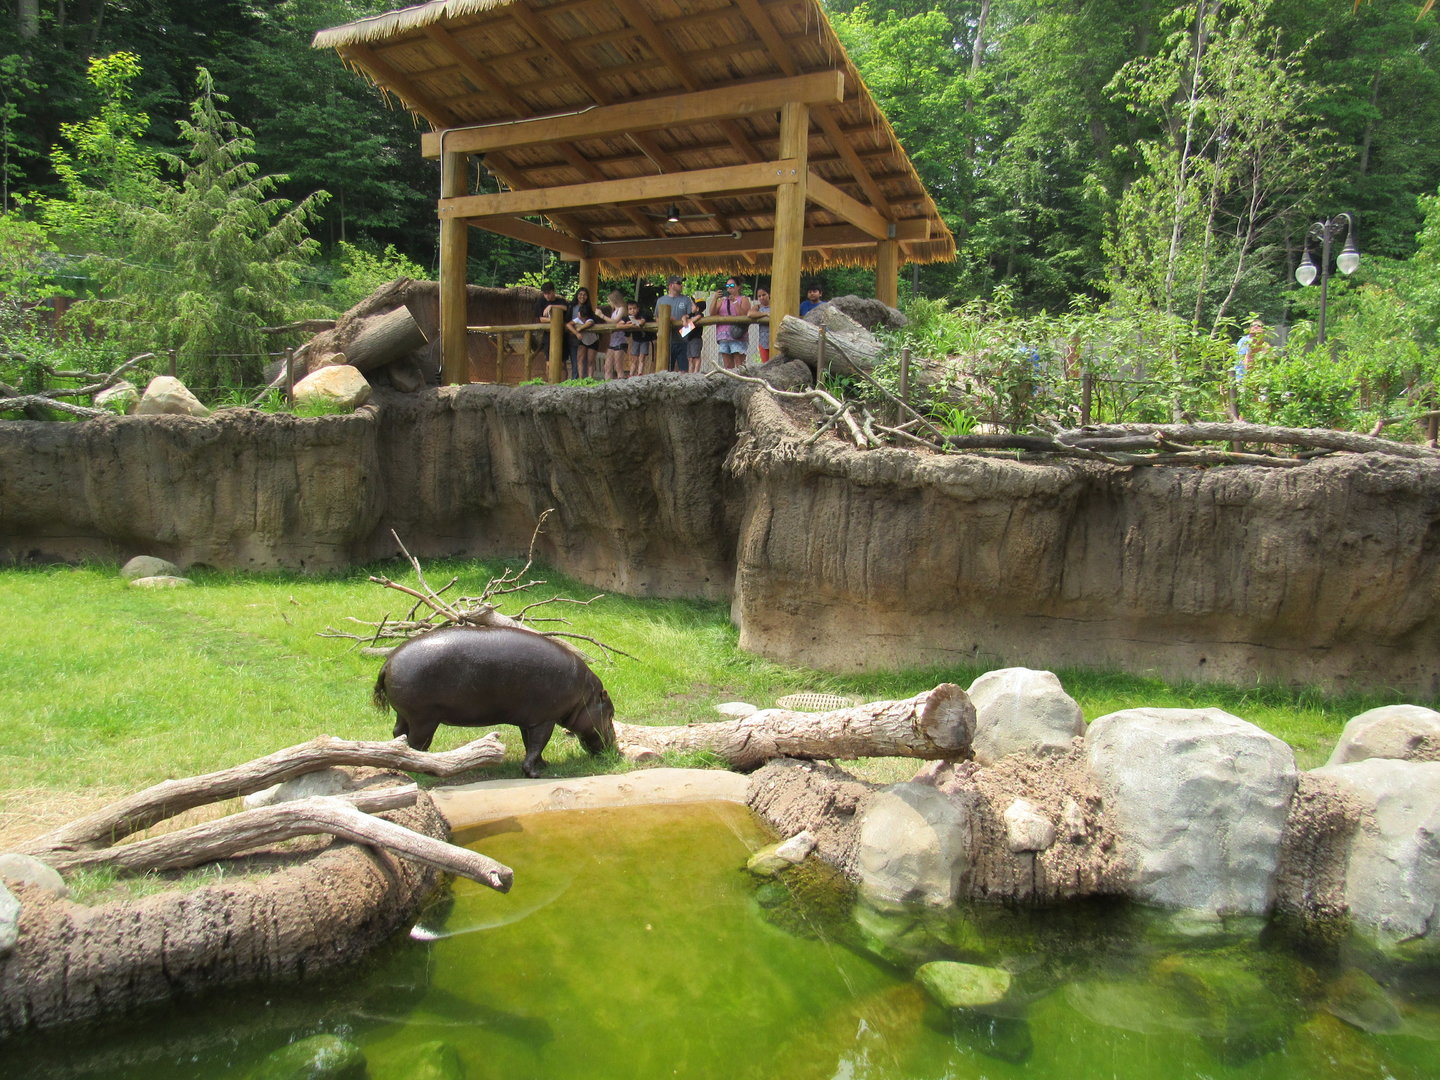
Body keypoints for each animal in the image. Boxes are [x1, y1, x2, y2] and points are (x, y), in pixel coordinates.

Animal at [372, 626, 616, 777]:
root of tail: (389, 662)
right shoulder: (545, 720)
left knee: (399, 734)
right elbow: (537, 744)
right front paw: (534, 773)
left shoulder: (529, 720)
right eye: (612, 714)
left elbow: (530, 745)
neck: (585, 697)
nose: (617, 749)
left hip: (404, 714)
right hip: (424, 719)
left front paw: (544, 765)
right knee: (417, 744)